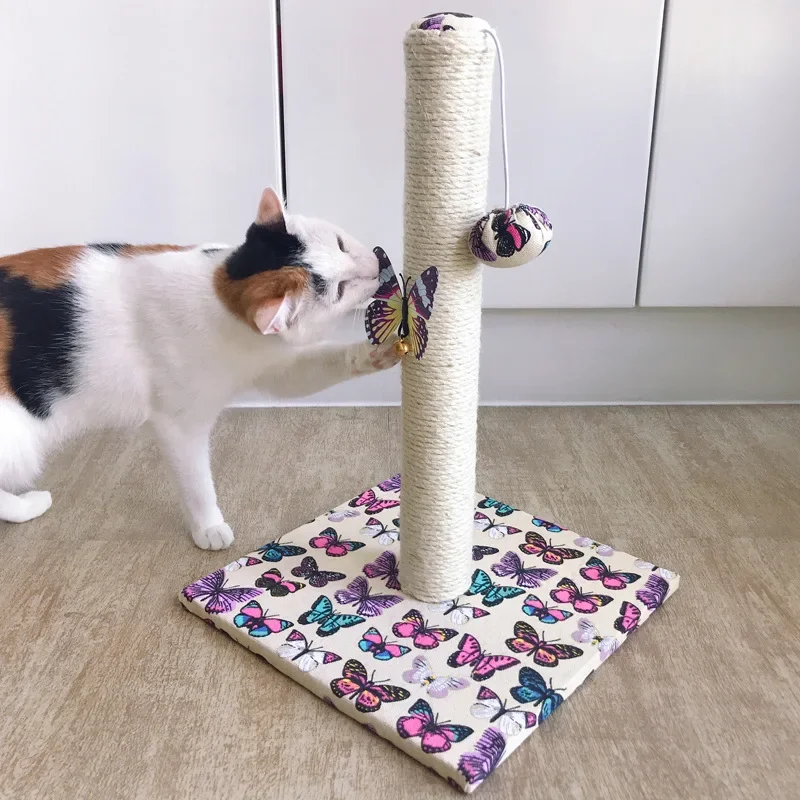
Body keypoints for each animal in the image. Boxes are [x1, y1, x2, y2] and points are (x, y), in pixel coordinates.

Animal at [0, 187, 400, 549]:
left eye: (340, 244)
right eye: (340, 289)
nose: (377, 264)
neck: (221, 295)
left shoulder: (273, 363)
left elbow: (316, 367)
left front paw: (379, 352)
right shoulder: (181, 424)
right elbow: (197, 483)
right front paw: (208, 527)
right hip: (16, 441)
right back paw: (29, 505)